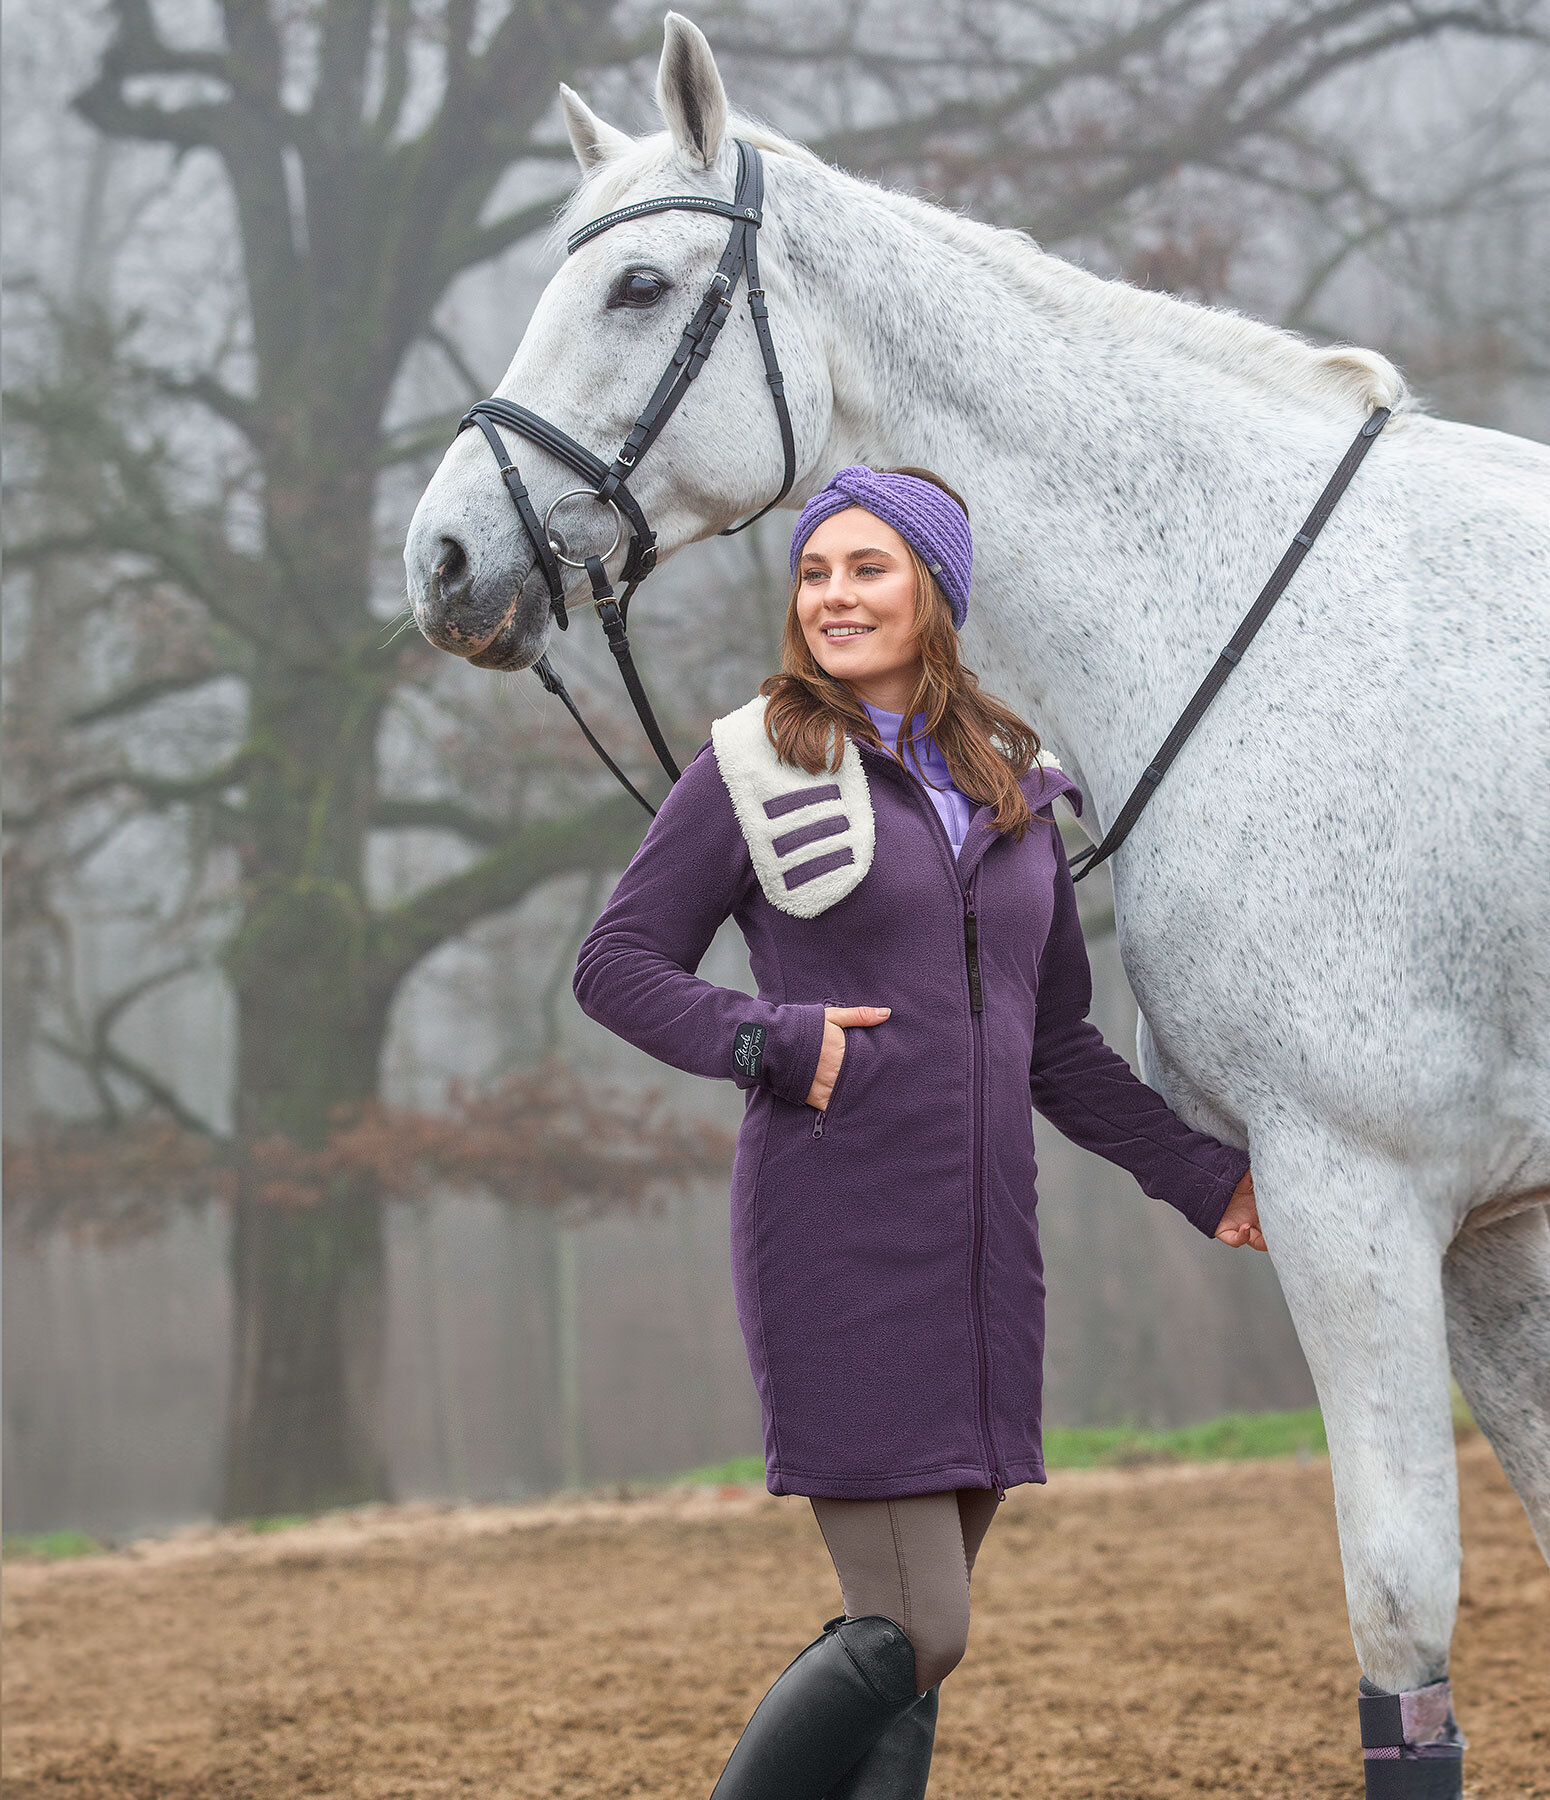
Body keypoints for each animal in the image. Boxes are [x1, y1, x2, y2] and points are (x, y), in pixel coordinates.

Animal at [405, 10, 1540, 1785]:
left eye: (638, 287)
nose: (444, 561)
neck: (1266, 617)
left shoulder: (1355, 1192)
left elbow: (1398, 1614)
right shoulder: (1496, 1229)